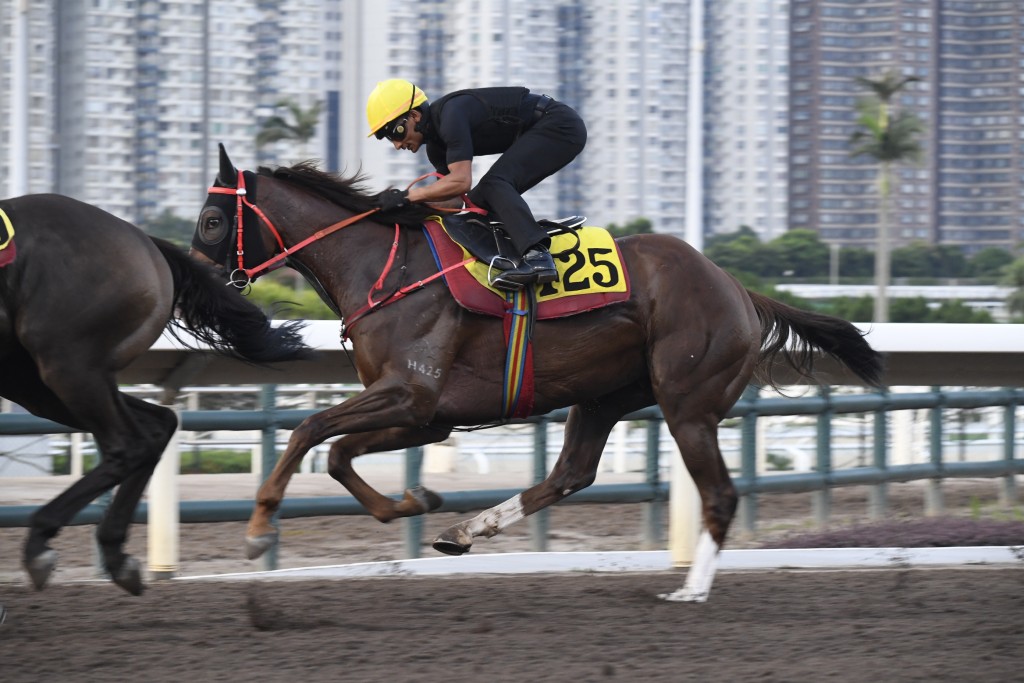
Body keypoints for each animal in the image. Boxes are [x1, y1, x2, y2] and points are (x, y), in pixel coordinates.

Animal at [1, 192, 311, 593]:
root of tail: (144, 240)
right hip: (37, 378)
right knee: (157, 426)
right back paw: (115, 553)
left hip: (68, 364)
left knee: (128, 444)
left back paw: (45, 544)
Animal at [195, 145, 884, 602]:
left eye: (211, 221)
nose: (198, 286)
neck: (382, 267)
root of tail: (739, 289)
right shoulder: (425, 413)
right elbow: (338, 454)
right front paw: (413, 501)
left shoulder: (410, 394)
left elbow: (310, 431)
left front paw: (258, 531)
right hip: (604, 395)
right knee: (570, 473)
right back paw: (463, 530)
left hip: (687, 404)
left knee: (717, 492)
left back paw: (690, 590)